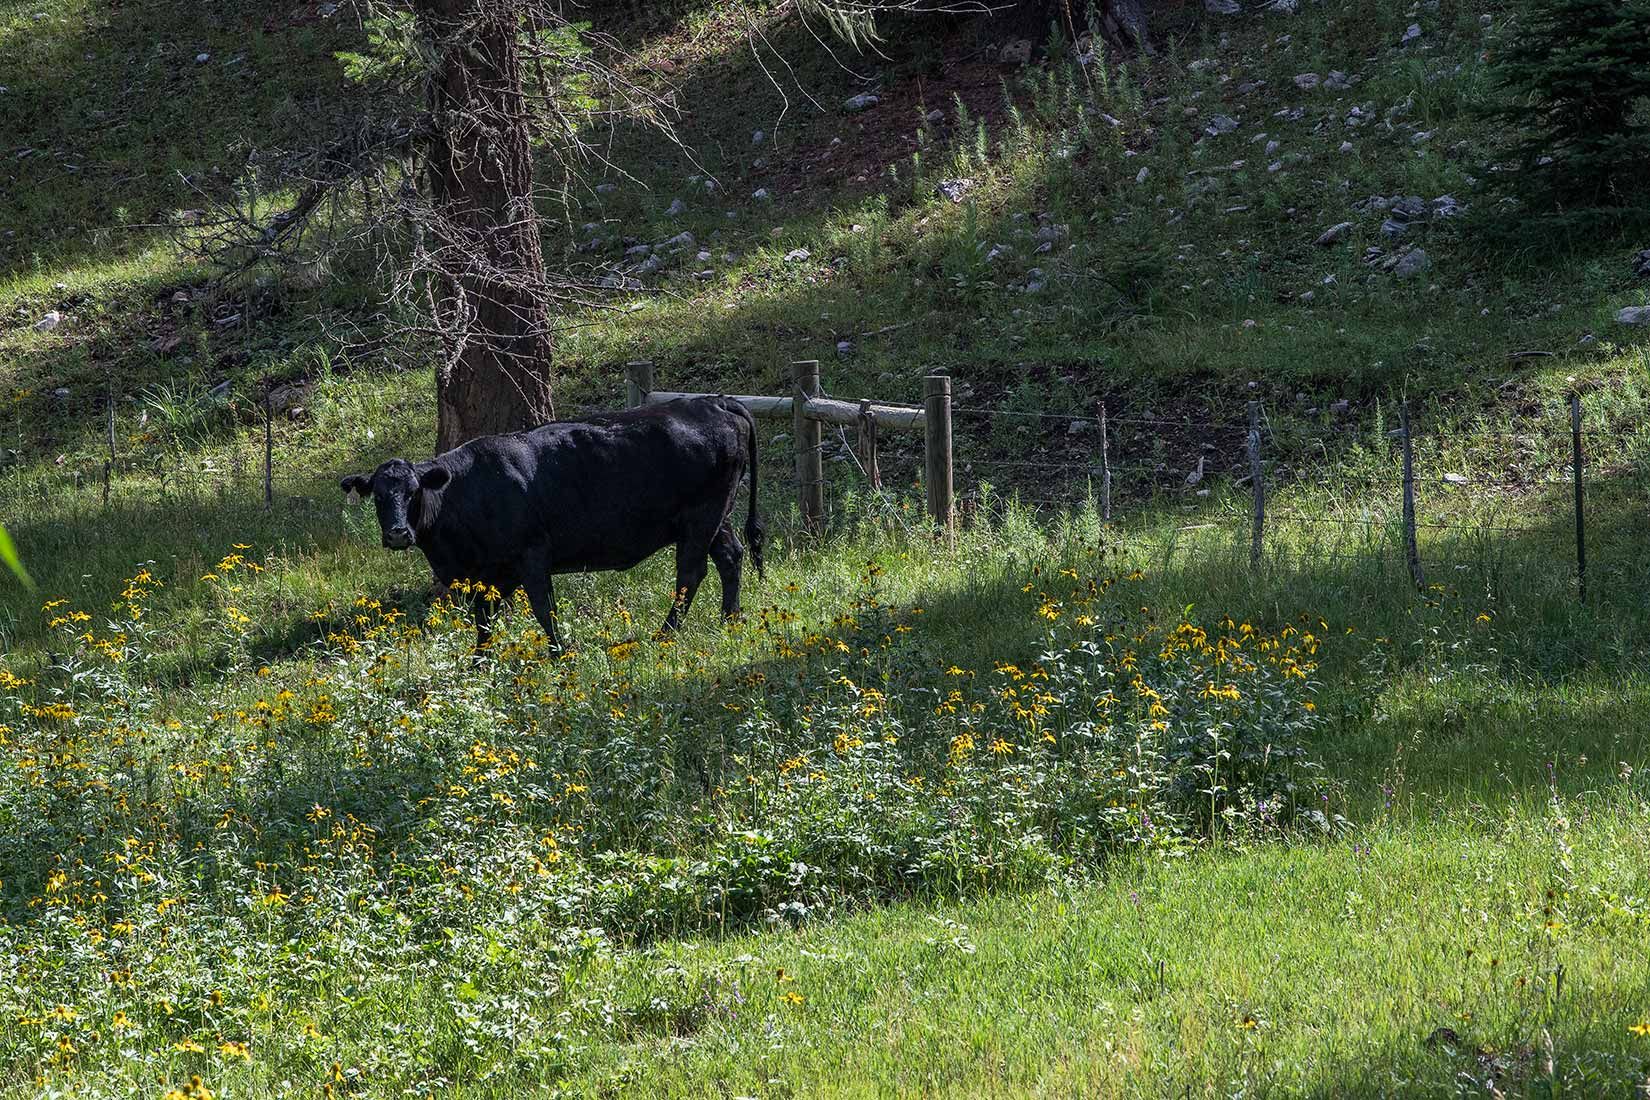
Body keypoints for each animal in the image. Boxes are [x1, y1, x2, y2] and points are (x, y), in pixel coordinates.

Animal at [339, 396, 763, 651]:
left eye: (413, 492)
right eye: (378, 496)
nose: (397, 533)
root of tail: (716, 402)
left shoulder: (532, 555)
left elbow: (544, 608)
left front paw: (560, 651)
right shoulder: (489, 572)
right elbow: (484, 619)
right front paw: (480, 661)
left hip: (701, 518)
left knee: (691, 573)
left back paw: (667, 632)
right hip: (716, 517)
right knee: (730, 556)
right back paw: (731, 618)